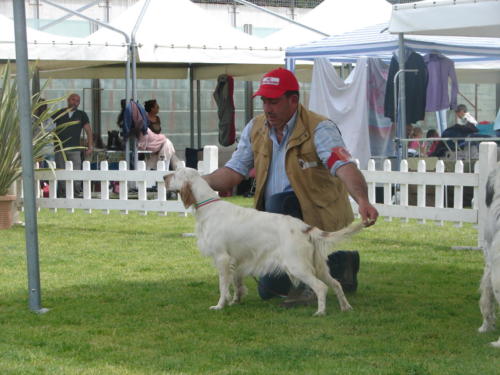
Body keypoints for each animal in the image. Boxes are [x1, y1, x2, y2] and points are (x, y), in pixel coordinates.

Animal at [166, 168, 366, 318]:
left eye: (175, 174)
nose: (163, 177)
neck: (209, 208)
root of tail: (305, 228)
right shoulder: (236, 261)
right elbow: (236, 283)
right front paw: (235, 301)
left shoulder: (222, 258)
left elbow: (223, 286)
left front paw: (220, 305)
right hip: (319, 267)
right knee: (336, 284)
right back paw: (345, 307)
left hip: (297, 266)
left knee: (321, 287)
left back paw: (320, 312)